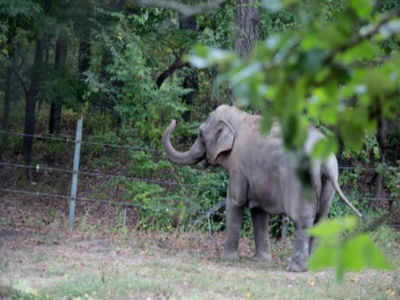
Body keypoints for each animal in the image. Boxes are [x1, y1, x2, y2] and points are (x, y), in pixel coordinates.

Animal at [161, 105, 360, 272]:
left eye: (200, 134)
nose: (174, 120)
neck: (239, 117)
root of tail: (324, 160)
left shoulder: (239, 166)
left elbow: (236, 201)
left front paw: (228, 259)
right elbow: (258, 209)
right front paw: (260, 261)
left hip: (301, 181)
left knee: (302, 219)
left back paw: (295, 268)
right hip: (329, 183)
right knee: (321, 219)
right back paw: (312, 266)